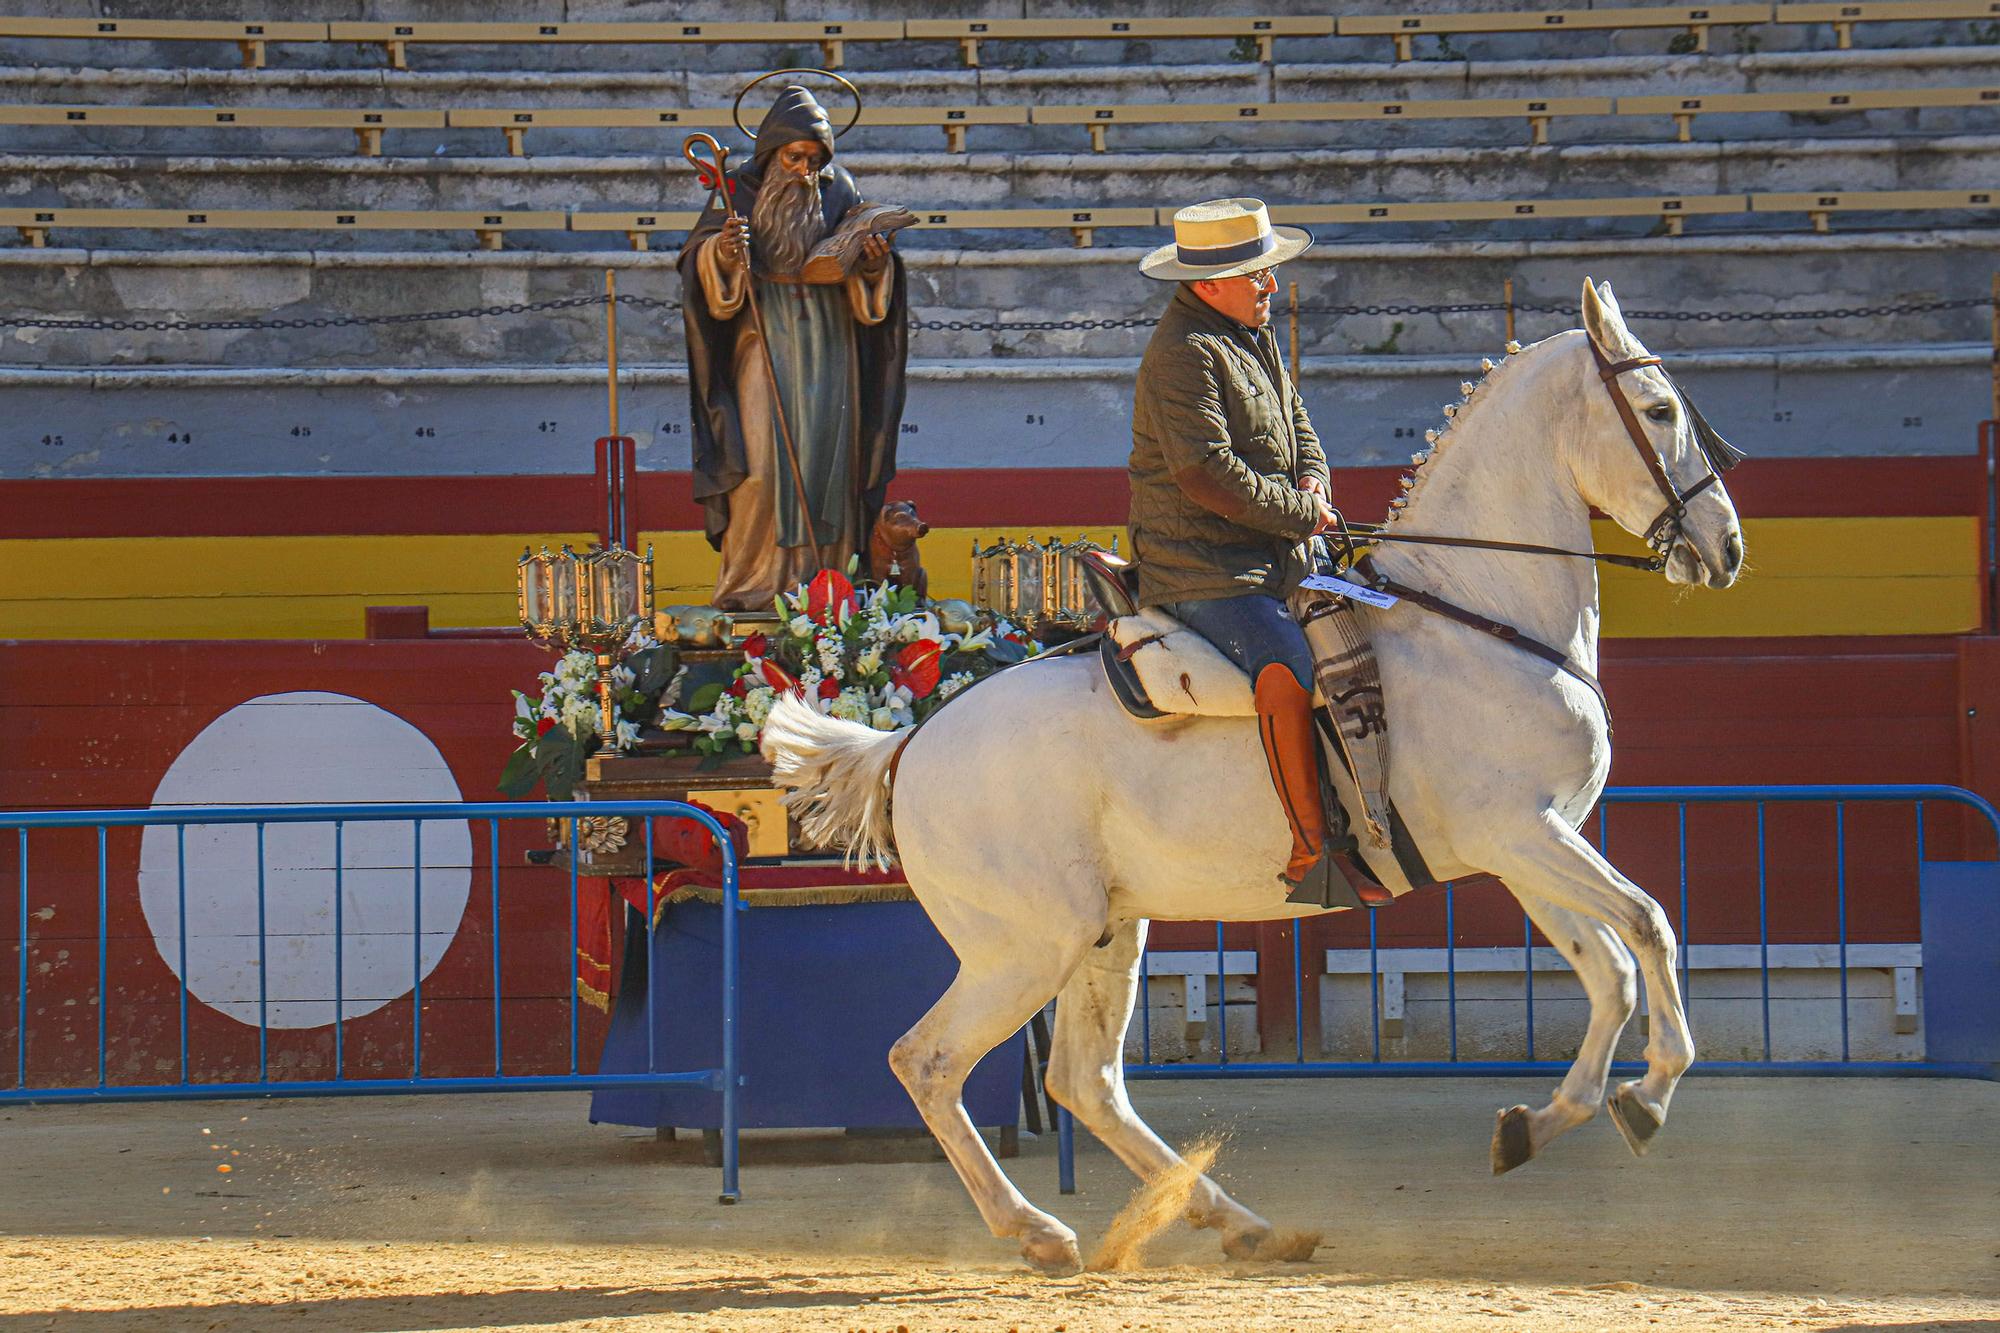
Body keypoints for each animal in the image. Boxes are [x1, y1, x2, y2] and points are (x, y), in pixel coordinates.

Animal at [756, 278, 1744, 1264]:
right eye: (1659, 410)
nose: (1728, 546)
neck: (1475, 616)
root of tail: (908, 747)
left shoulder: (1528, 844)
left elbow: (1609, 968)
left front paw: (1537, 1123)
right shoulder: (1523, 834)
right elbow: (1650, 925)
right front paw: (1651, 1094)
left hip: (1107, 932)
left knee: (1086, 1080)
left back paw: (1236, 1220)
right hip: (1024, 947)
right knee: (927, 1062)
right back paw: (1038, 1229)